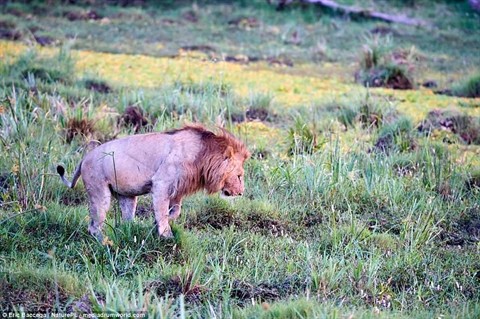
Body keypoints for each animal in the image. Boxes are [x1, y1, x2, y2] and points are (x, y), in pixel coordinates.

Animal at [58, 125, 249, 240]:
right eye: (240, 176)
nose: (241, 192)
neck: (203, 156)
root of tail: (83, 158)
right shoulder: (161, 184)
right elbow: (162, 212)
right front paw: (166, 235)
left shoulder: (178, 190)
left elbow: (175, 211)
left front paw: (155, 224)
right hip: (99, 192)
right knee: (94, 226)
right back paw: (105, 242)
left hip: (127, 196)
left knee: (127, 220)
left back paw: (132, 232)